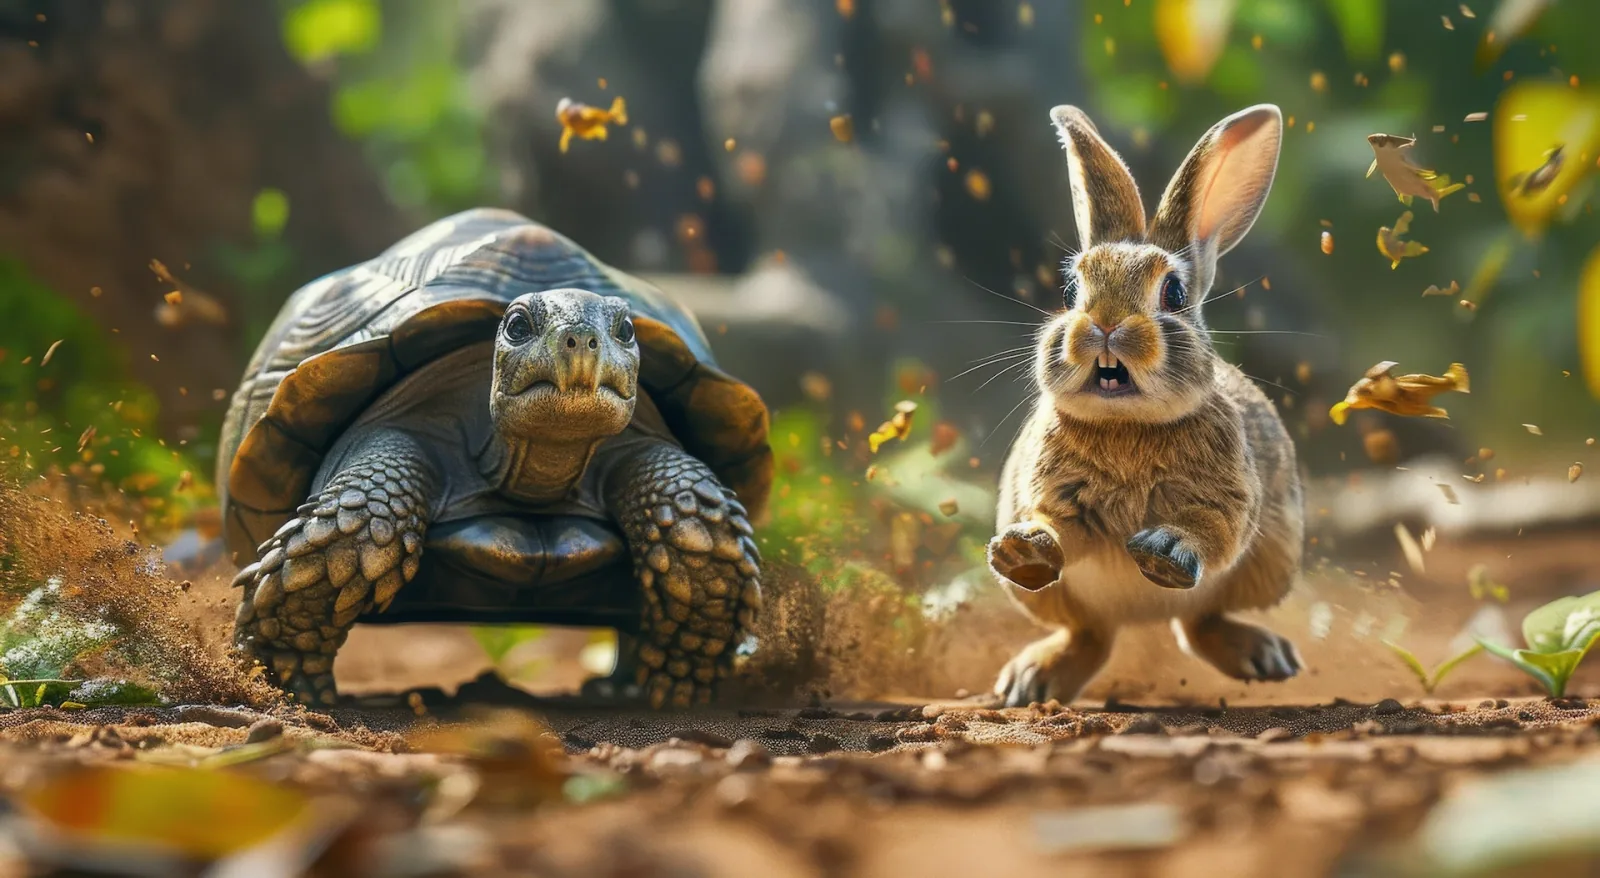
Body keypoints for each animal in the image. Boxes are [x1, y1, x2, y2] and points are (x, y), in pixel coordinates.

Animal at [985, 103, 1305, 707]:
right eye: (1071, 292)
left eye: (1173, 294)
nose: (1105, 324)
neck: (1126, 424)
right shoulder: (1057, 496)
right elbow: (1061, 527)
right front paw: (1025, 549)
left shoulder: (1229, 498)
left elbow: (1213, 529)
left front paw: (1164, 548)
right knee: (1092, 634)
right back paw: (1028, 682)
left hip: (1270, 561)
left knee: (1199, 624)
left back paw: (1267, 658)